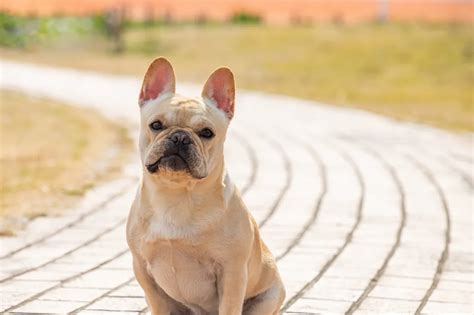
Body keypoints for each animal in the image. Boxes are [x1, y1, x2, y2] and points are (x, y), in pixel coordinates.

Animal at [127, 58, 286, 314]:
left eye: (207, 133)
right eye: (156, 125)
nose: (180, 137)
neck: (176, 194)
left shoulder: (232, 273)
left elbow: (229, 307)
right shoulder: (143, 270)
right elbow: (158, 303)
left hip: (270, 296)